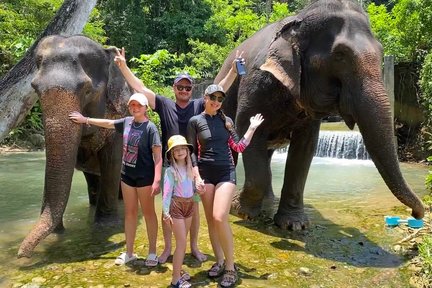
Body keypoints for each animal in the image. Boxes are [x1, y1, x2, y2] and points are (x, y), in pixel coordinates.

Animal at [17, 35, 132, 258]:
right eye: (35, 88)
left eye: (87, 90)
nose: (21, 255)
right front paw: (57, 234)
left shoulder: (119, 114)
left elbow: (112, 162)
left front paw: (105, 228)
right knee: (93, 181)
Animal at [214, 0, 424, 230]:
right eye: (340, 55)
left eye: (381, 51)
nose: (416, 214)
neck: (296, 21)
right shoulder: (256, 82)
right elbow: (247, 129)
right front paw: (240, 211)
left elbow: (305, 148)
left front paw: (293, 225)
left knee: (267, 152)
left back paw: (268, 201)